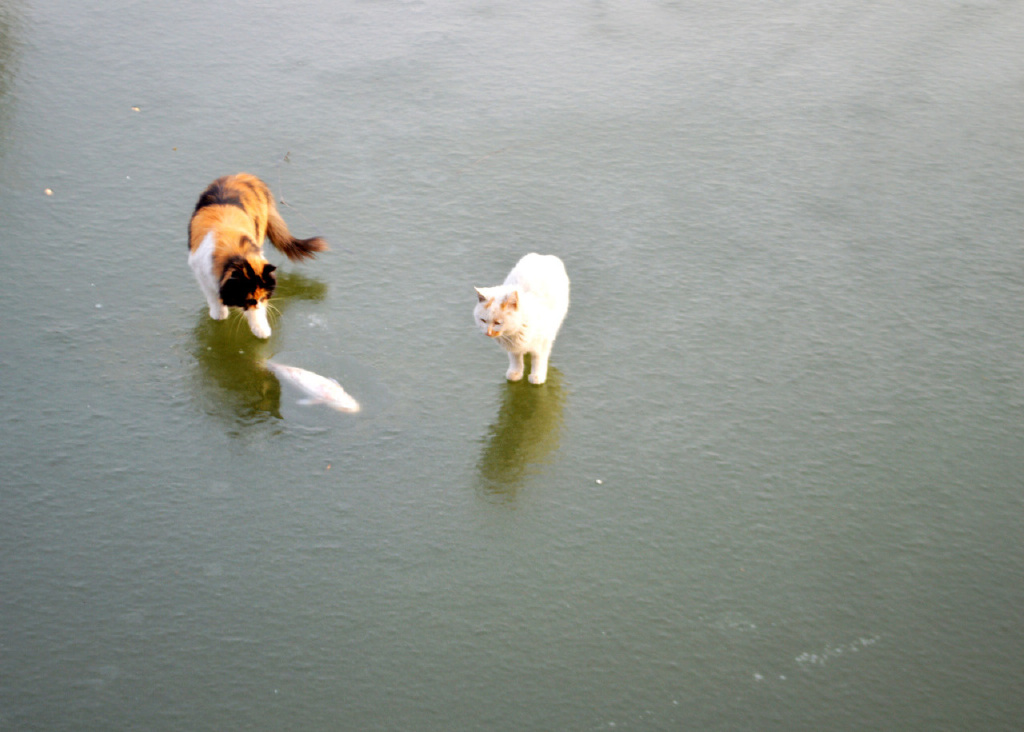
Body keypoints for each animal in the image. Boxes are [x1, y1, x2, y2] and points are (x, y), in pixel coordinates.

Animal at [186, 174, 325, 339]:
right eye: (250, 299)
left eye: (262, 297)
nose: (258, 304)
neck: (236, 252)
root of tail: (244, 175)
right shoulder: (202, 272)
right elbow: (212, 296)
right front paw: (219, 314)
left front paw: (262, 331)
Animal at [471, 251, 569, 386]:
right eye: (483, 320)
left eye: (498, 322)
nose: (488, 333)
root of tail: (543, 256)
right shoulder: (513, 347)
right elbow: (515, 359)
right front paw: (515, 373)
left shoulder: (543, 342)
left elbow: (538, 359)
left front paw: (537, 376)